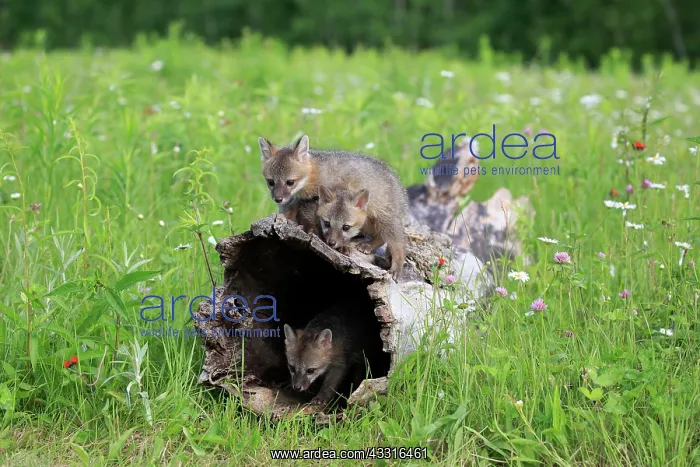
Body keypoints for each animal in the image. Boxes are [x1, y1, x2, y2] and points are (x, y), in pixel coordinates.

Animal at [258, 134, 408, 278]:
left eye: (290, 182)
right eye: (270, 182)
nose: (278, 199)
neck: (316, 172)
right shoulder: (305, 200)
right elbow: (296, 210)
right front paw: (286, 217)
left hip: (385, 219)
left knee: (397, 242)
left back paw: (395, 266)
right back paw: (369, 245)